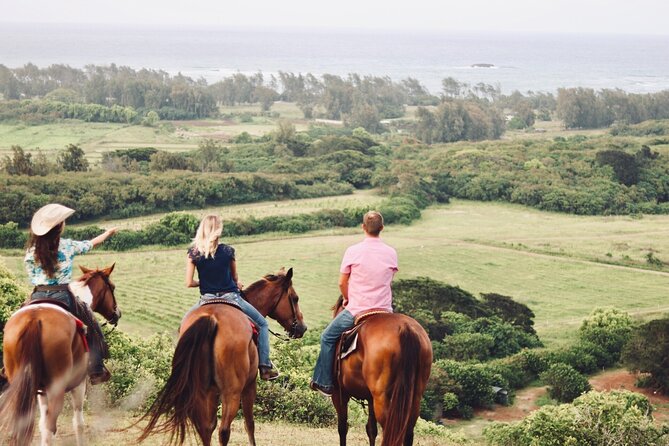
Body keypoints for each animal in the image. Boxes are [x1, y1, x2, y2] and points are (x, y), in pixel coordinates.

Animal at [0, 264, 120, 446]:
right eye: (112, 287)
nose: (117, 313)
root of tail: (34, 319)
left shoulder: (41, 392)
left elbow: (42, 425)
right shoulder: (79, 385)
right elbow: (78, 424)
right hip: (57, 389)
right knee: (51, 429)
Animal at [141, 268, 308, 446]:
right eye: (295, 298)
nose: (303, 328)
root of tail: (211, 318)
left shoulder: (212, 392)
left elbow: (211, 425)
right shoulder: (249, 386)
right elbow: (249, 423)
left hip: (202, 390)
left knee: (206, 429)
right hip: (231, 393)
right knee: (224, 430)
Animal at [330, 296, 434, 446]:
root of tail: (405, 327)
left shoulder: (339, 394)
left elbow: (343, 427)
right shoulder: (369, 397)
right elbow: (371, 430)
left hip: (381, 397)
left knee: (388, 427)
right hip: (413, 396)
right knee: (408, 429)